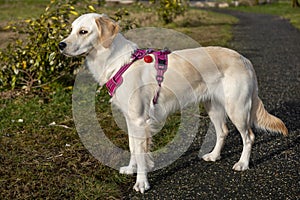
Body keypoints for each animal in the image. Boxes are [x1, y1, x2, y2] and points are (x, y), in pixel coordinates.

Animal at [59, 13, 288, 193]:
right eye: (71, 30)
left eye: (83, 31)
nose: (61, 45)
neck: (118, 62)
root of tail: (244, 59)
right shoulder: (131, 119)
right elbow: (133, 148)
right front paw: (131, 169)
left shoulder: (140, 120)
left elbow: (140, 153)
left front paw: (141, 183)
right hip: (213, 106)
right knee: (223, 131)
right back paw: (214, 156)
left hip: (237, 108)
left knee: (249, 136)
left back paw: (242, 163)